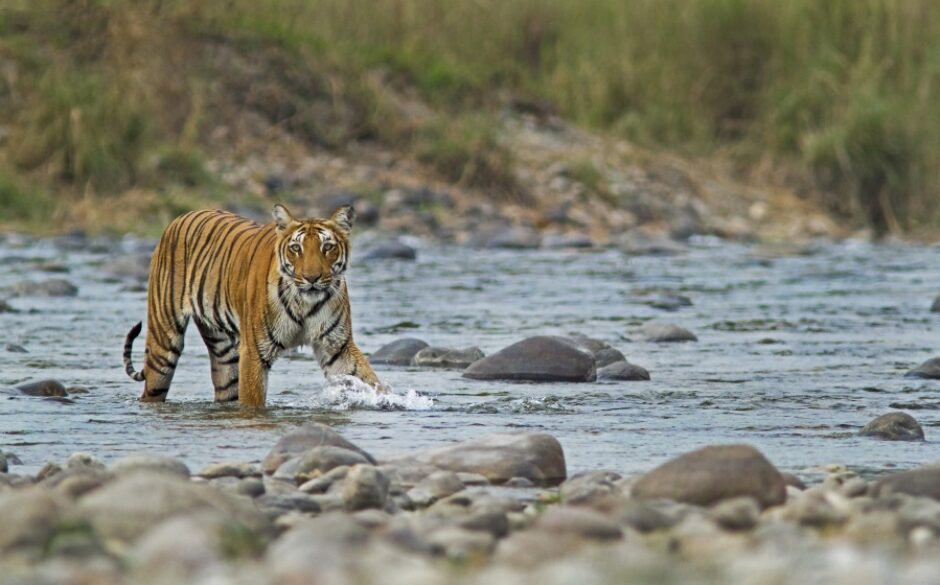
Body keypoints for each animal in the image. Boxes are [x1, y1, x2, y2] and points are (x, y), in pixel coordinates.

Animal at [122, 204, 382, 406]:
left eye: (327, 247)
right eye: (296, 248)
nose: (311, 278)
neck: (305, 303)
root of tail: (179, 217)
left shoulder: (337, 346)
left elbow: (369, 380)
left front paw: (387, 401)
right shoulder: (255, 352)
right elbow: (252, 401)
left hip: (224, 353)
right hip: (164, 343)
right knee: (152, 387)